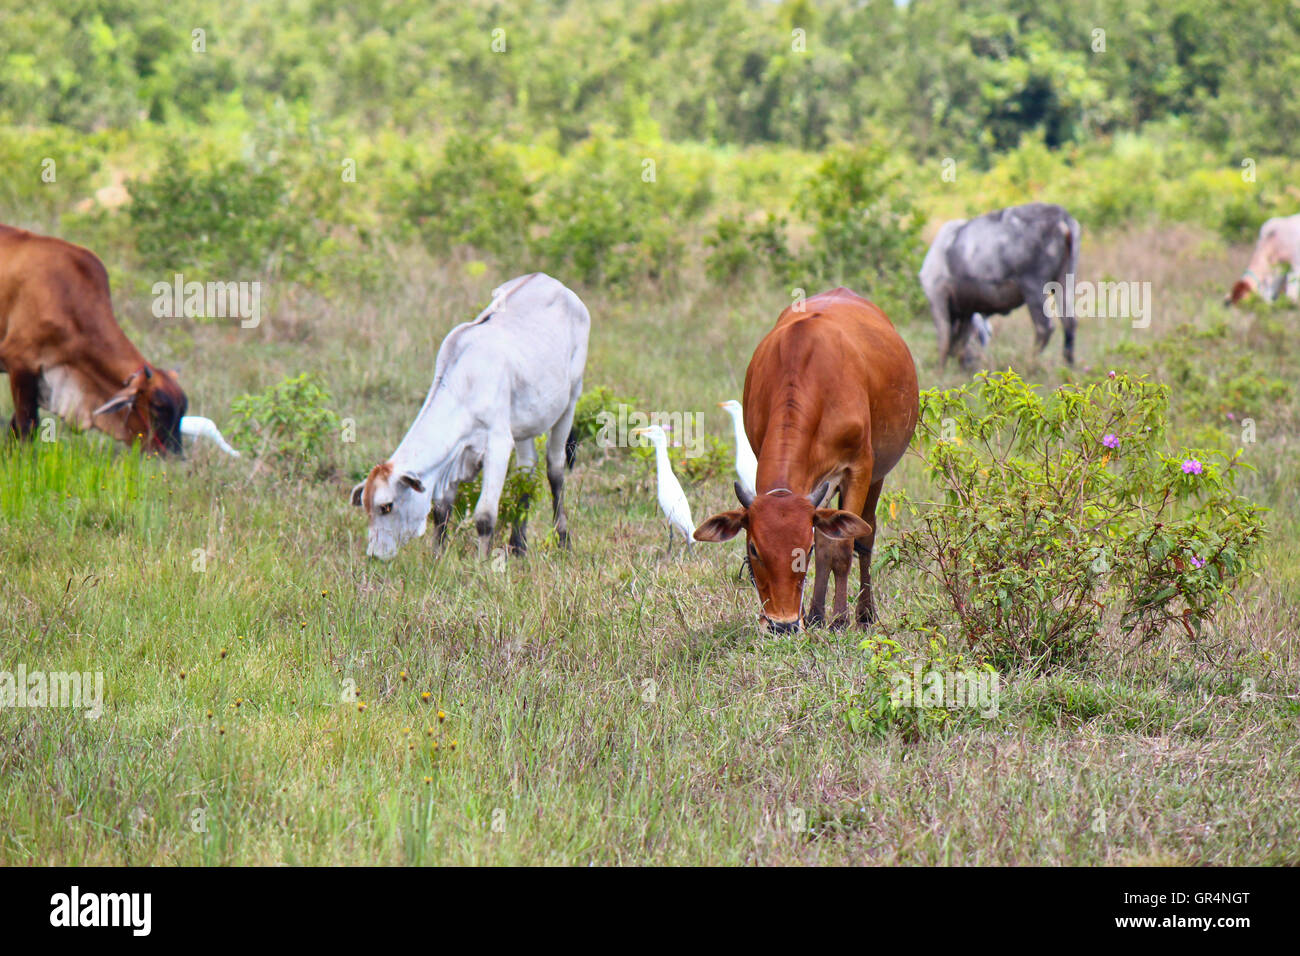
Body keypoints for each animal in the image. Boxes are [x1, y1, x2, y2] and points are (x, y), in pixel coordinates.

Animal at [351, 273, 590, 560]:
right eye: (366, 508)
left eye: (387, 506)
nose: (374, 554)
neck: (464, 384)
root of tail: (554, 283)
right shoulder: (457, 454)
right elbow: (441, 511)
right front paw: (437, 557)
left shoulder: (498, 443)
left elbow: (485, 515)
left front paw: (482, 563)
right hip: (524, 425)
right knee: (526, 470)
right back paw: (518, 545)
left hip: (571, 399)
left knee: (555, 470)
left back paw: (563, 541)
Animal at [693, 288, 919, 632]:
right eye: (753, 548)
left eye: (804, 550)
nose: (782, 624)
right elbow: (826, 543)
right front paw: (813, 615)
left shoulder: (858, 469)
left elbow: (840, 547)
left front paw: (839, 619)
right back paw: (815, 615)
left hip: (878, 474)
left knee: (864, 536)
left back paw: (863, 614)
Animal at [920, 202, 1081, 368]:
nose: (978, 359)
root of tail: (1061, 216)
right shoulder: (967, 310)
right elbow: (959, 344)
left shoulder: (938, 298)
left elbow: (944, 342)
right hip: (1064, 281)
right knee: (1069, 323)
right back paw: (1069, 365)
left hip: (1034, 287)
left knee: (1044, 328)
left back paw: (1030, 363)